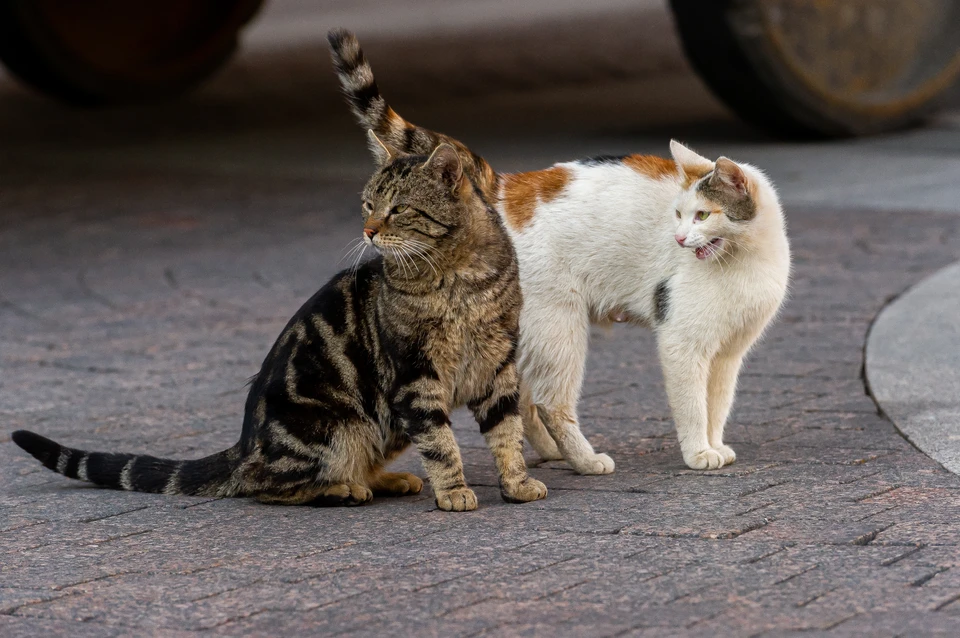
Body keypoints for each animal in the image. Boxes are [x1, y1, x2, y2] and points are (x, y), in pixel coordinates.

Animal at [11, 141, 548, 516]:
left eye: (397, 209)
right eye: (367, 205)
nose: (369, 230)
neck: (458, 278)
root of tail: (245, 443)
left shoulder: (498, 362)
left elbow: (507, 432)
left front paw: (516, 482)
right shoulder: (416, 375)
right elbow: (441, 445)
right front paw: (454, 490)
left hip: (381, 422)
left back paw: (384, 479)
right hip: (340, 424)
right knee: (265, 485)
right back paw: (342, 489)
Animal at [326, 30, 792, 476]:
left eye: (701, 215)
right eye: (680, 215)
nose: (677, 239)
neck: (745, 259)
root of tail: (504, 187)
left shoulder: (729, 352)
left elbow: (718, 405)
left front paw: (715, 446)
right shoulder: (683, 342)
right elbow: (694, 405)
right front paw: (698, 453)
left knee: (520, 393)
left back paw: (551, 453)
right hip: (558, 325)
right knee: (550, 401)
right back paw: (585, 461)